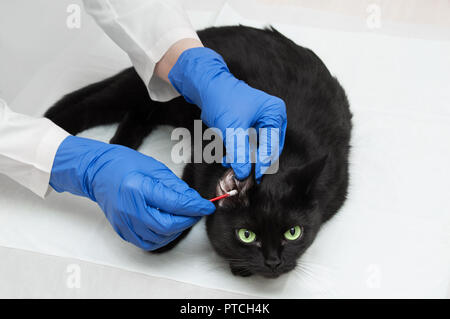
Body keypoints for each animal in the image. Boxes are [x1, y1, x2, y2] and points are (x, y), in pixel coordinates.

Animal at [44, 26, 352, 278]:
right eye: (247, 235)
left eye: (293, 232)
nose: (274, 262)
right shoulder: (199, 162)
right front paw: (165, 239)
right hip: (136, 91)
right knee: (93, 105)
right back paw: (55, 131)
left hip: (156, 105)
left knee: (137, 116)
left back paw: (117, 149)